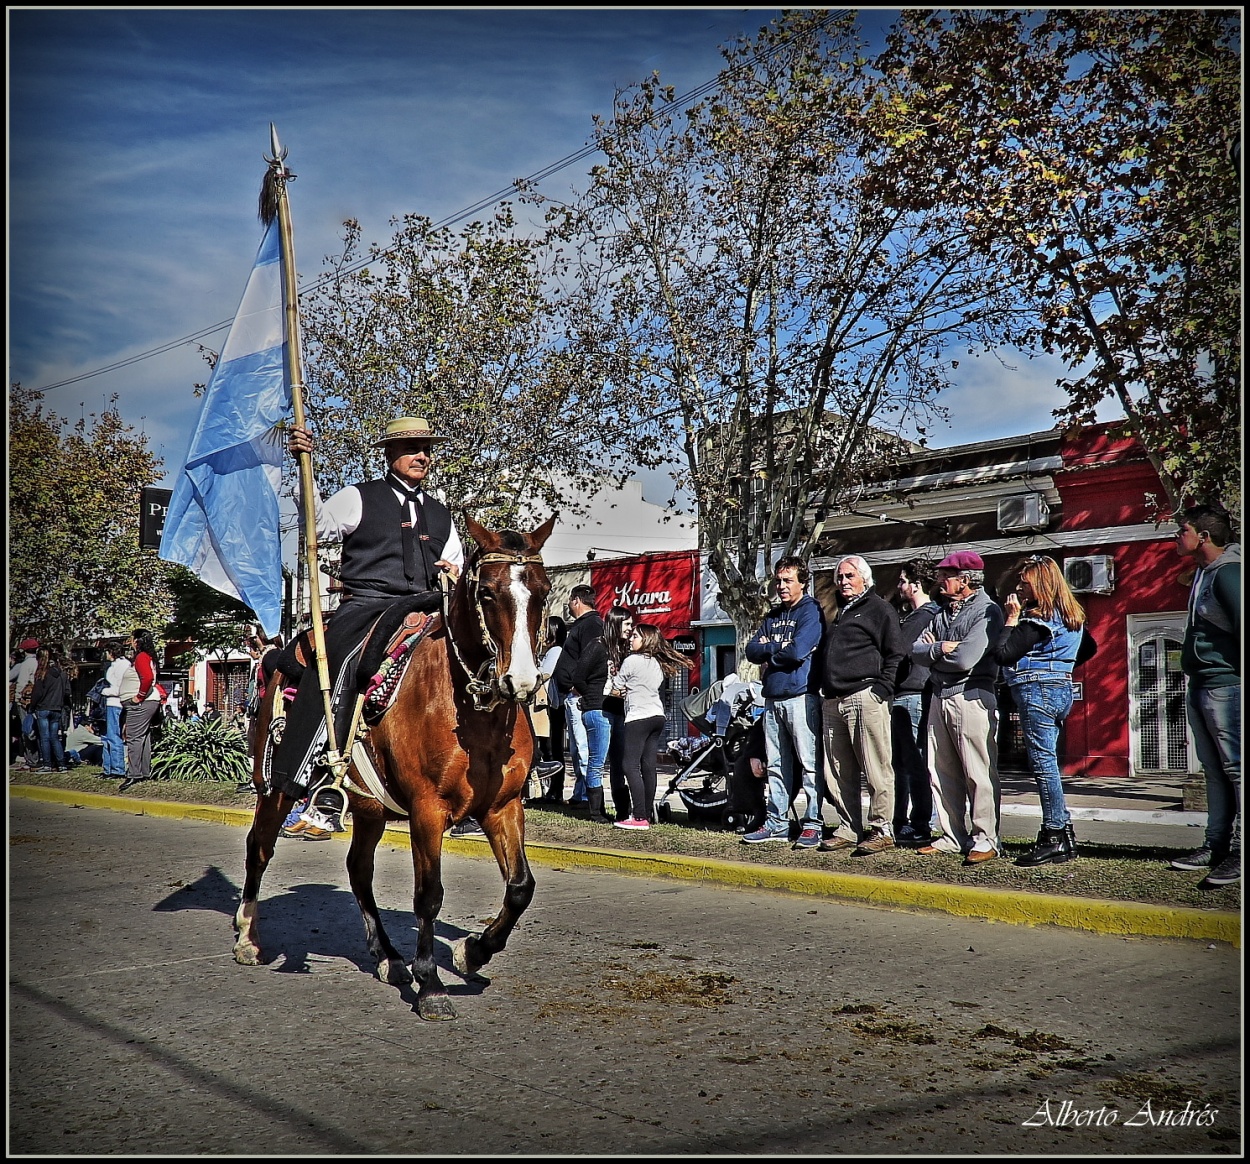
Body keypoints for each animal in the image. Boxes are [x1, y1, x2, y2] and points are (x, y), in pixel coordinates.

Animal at [233, 520, 552, 1020]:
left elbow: (521, 887)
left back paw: (387, 957)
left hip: (368, 810)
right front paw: (432, 984)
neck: (471, 713)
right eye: (487, 593)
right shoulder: (427, 810)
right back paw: (248, 936)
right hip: (275, 789)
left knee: (358, 869)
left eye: (542, 590)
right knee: (259, 848)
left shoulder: (502, 806)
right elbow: (429, 895)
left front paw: (473, 951)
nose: (519, 681)